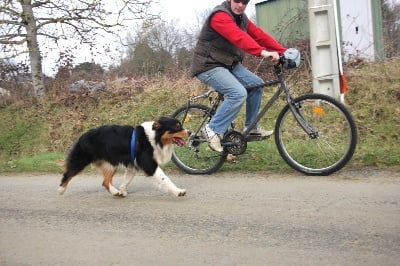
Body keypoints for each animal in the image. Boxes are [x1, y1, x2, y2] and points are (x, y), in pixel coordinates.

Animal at [57, 117, 188, 197]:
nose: (190, 132)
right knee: (68, 174)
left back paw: (115, 192)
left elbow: (126, 180)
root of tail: (82, 135)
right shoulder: (149, 164)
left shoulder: (132, 166)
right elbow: (164, 178)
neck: (155, 138)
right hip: (81, 160)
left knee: (105, 182)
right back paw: (61, 190)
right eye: (177, 126)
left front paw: (121, 190)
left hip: (110, 164)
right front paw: (178, 191)